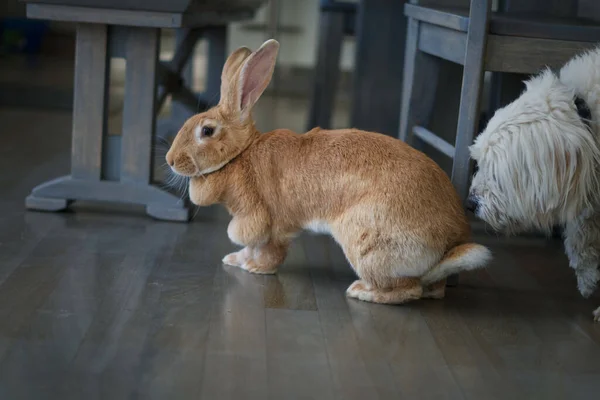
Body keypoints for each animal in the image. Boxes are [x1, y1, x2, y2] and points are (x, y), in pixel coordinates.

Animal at [166, 39, 490, 304]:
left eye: (207, 131)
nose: (170, 160)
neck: (240, 155)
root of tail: (449, 244)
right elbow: (249, 246)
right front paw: (235, 259)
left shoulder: (264, 220)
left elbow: (266, 248)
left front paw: (256, 268)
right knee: (431, 289)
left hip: (365, 243)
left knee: (408, 290)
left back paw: (361, 292)